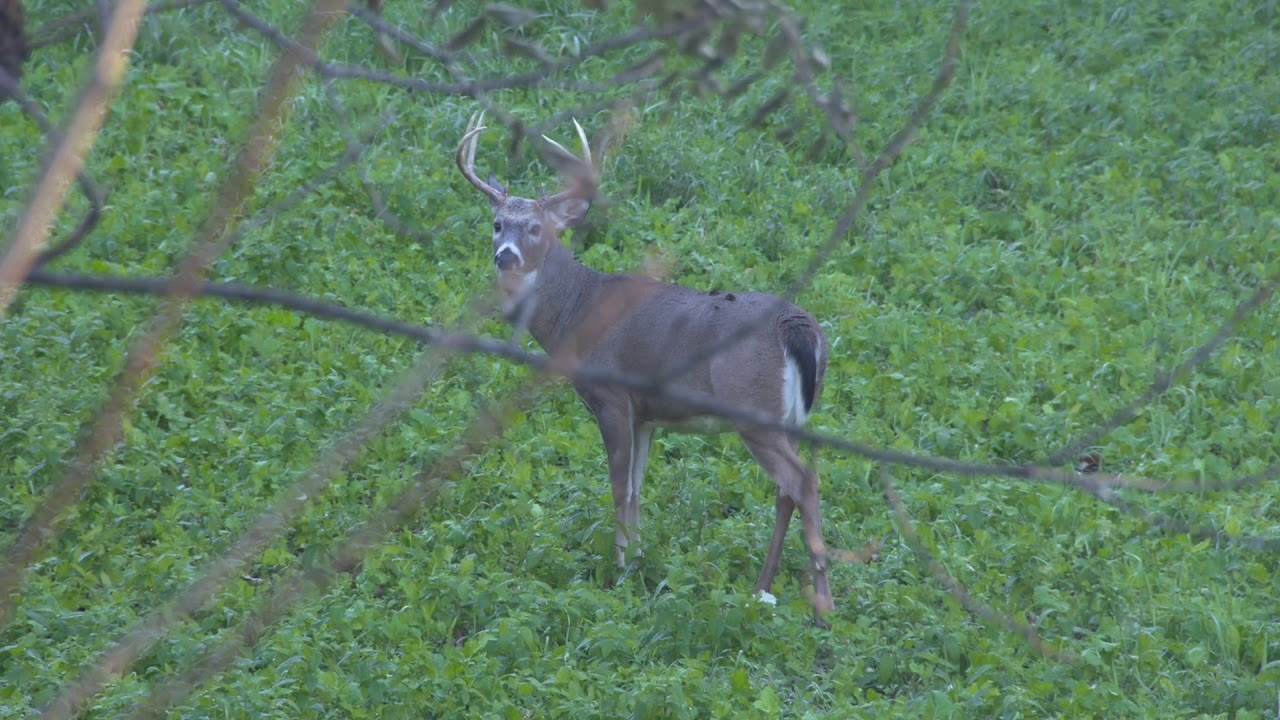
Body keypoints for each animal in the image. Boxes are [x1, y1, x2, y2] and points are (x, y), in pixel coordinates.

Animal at [455, 112, 834, 617]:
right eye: (497, 224)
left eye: (536, 228)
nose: (505, 256)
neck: (576, 312)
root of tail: (799, 327)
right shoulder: (646, 413)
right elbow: (637, 485)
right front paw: (636, 561)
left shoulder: (612, 397)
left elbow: (618, 484)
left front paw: (617, 571)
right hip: (791, 416)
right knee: (785, 490)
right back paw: (763, 587)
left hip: (753, 409)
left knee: (803, 481)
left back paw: (822, 606)